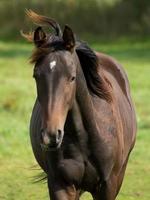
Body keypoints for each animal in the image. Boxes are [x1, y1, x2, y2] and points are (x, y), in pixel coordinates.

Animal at [22, 10, 137, 199]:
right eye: (35, 75)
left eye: (72, 77)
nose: (51, 136)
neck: (84, 137)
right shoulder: (61, 184)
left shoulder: (108, 186)